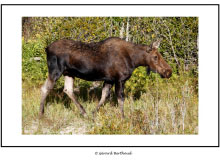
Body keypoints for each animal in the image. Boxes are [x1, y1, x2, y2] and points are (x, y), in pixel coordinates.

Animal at [39, 37, 172, 118]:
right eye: (155, 56)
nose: (168, 72)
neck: (134, 60)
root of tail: (46, 48)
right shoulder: (119, 79)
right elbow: (120, 99)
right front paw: (123, 117)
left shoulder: (109, 80)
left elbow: (104, 96)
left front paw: (93, 113)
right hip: (56, 70)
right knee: (45, 88)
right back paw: (41, 113)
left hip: (69, 73)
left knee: (68, 89)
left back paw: (84, 112)